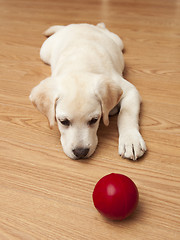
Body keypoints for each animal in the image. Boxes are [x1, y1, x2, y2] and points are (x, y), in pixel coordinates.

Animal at [29, 23, 146, 160]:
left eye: (94, 120)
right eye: (63, 121)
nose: (80, 152)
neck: (80, 66)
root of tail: (78, 24)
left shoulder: (129, 90)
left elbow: (127, 114)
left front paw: (131, 141)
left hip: (118, 41)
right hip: (44, 52)